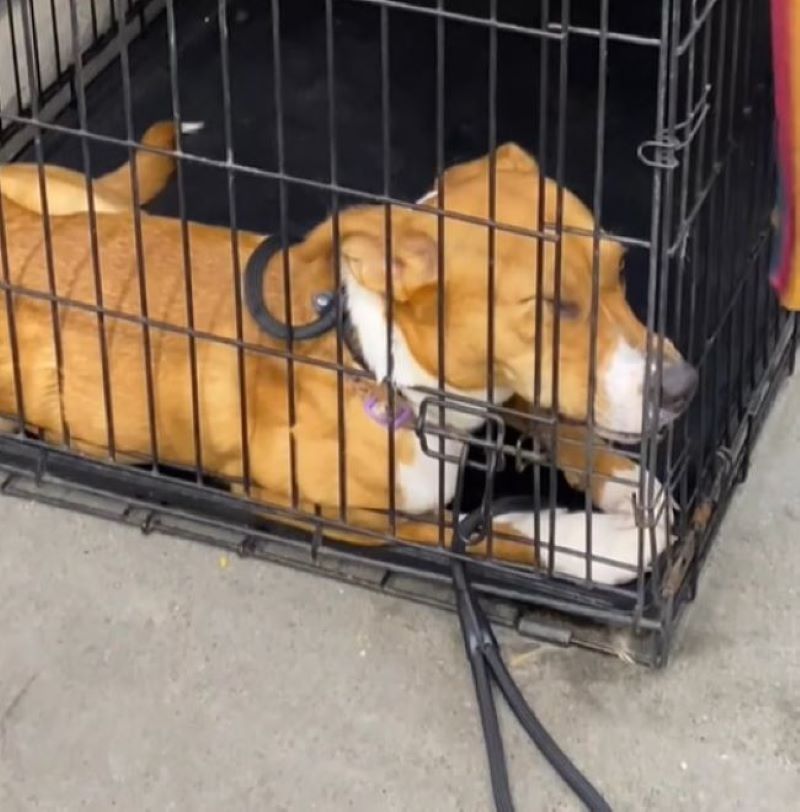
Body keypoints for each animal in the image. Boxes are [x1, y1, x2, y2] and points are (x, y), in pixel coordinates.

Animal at [0, 120, 692, 584]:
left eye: (621, 268)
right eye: (552, 305)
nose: (684, 387)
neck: (390, 374)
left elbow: (547, 410)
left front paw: (620, 479)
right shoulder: (321, 509)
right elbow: (487, 534)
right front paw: (602, 544)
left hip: (87, 202)